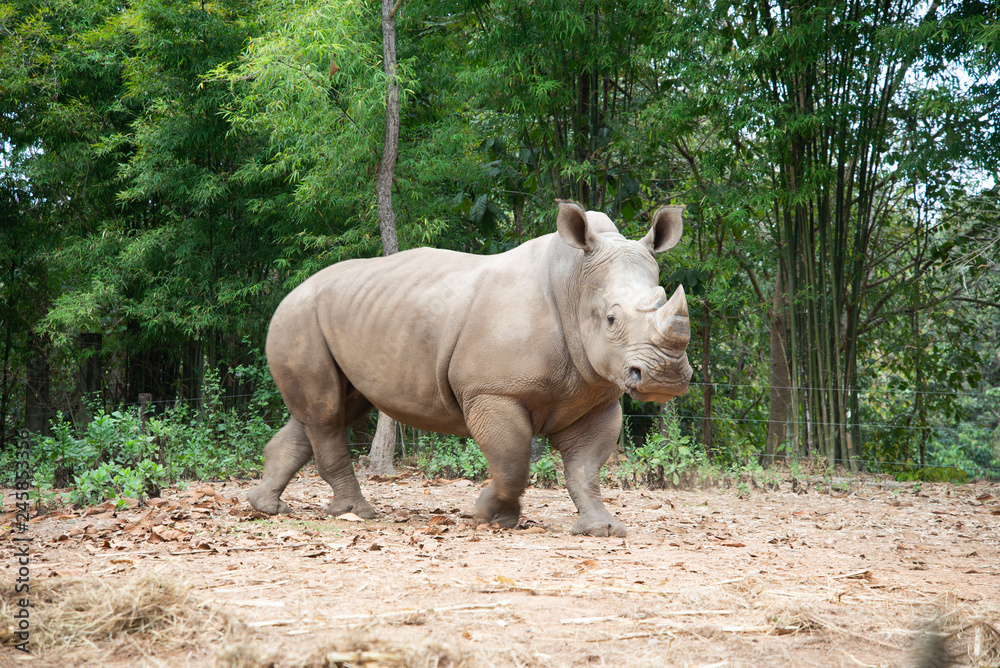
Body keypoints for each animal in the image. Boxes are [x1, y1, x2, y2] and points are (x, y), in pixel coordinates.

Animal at [248, 200, 692, 537]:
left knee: (333, 410)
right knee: (326, 414)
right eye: (611, 320)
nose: (665, 376)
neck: (574, 284)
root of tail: (292, 290)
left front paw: (602, 529)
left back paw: (266, 507)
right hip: (299, 316)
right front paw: (489, 516)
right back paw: (355, 514)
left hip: (342, 315)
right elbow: (513, 459)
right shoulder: (492, 392)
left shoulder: (596, 394)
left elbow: (585, 467)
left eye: (663, 298)